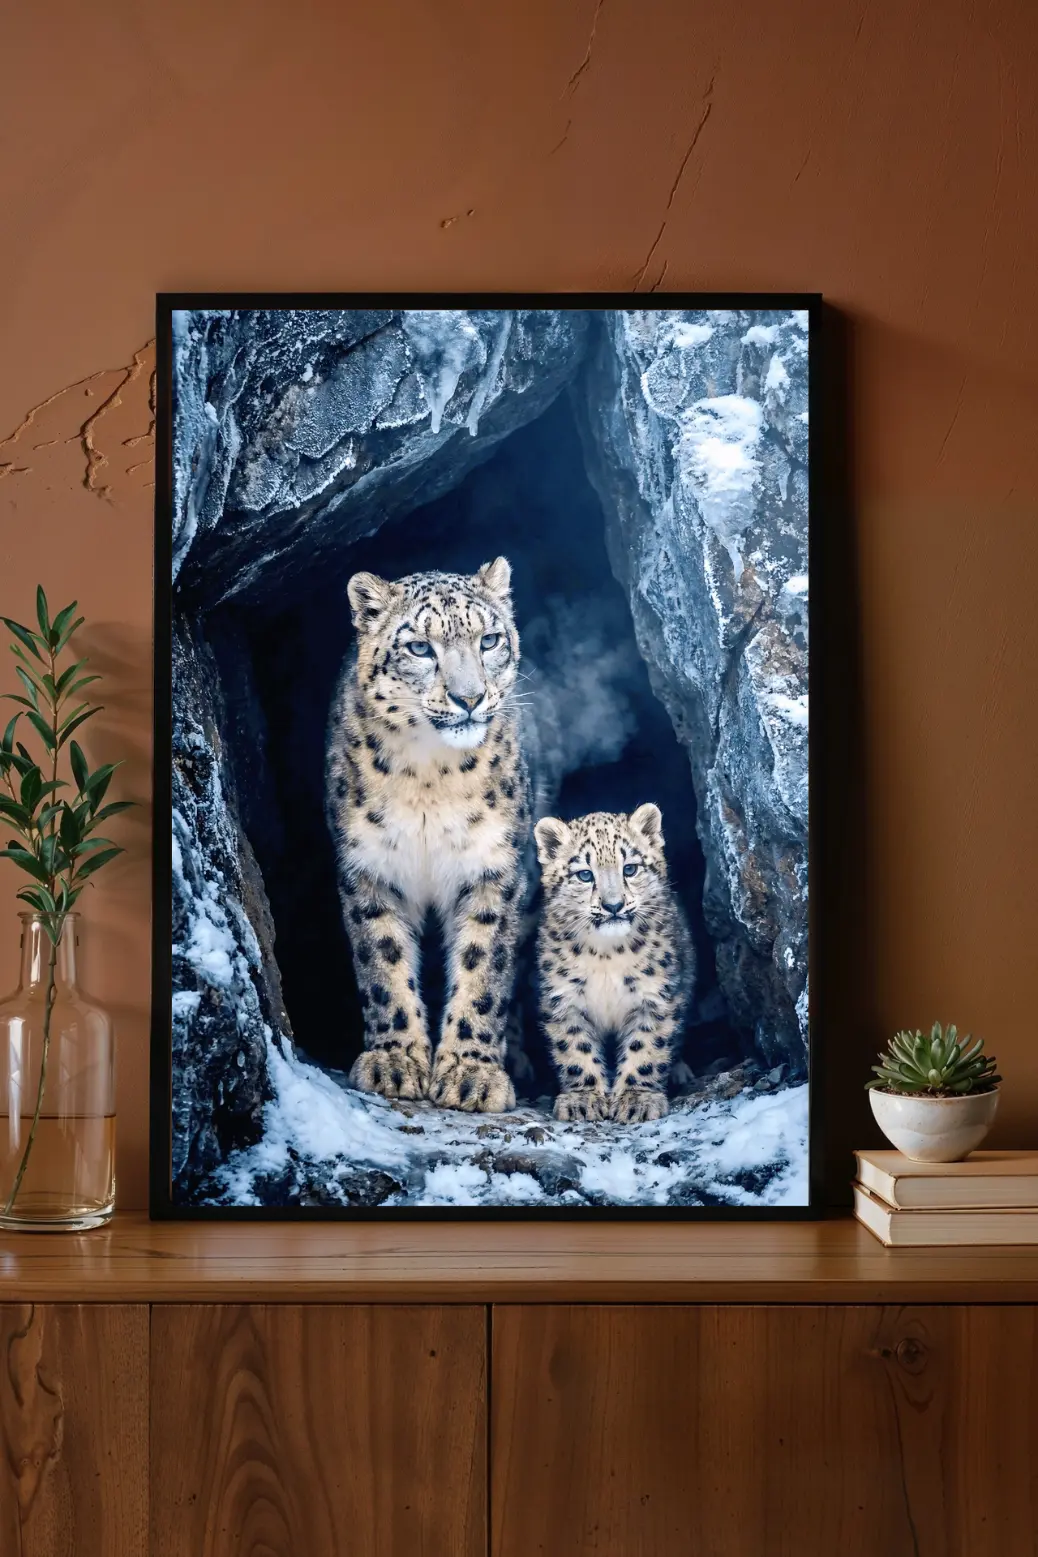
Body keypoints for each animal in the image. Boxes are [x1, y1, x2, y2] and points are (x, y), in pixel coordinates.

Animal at [326, 556, 530, 1113]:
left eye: (489, 640)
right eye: (420, 647)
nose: (470, 697)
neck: (429, 778)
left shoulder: (493, 869)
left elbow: (484, 968)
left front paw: (471, 1074)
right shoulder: (370, 870)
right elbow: (383, 963)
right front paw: (395, 1062)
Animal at [533, 804, 695, 1125]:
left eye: (629, 868)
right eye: (584, 874)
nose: (613, 905)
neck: (607, 956)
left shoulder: (654, 996)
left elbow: (645, 1047)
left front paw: (637, 1099)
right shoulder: (564, 999)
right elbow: (575, 1048)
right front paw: (583, 1099)